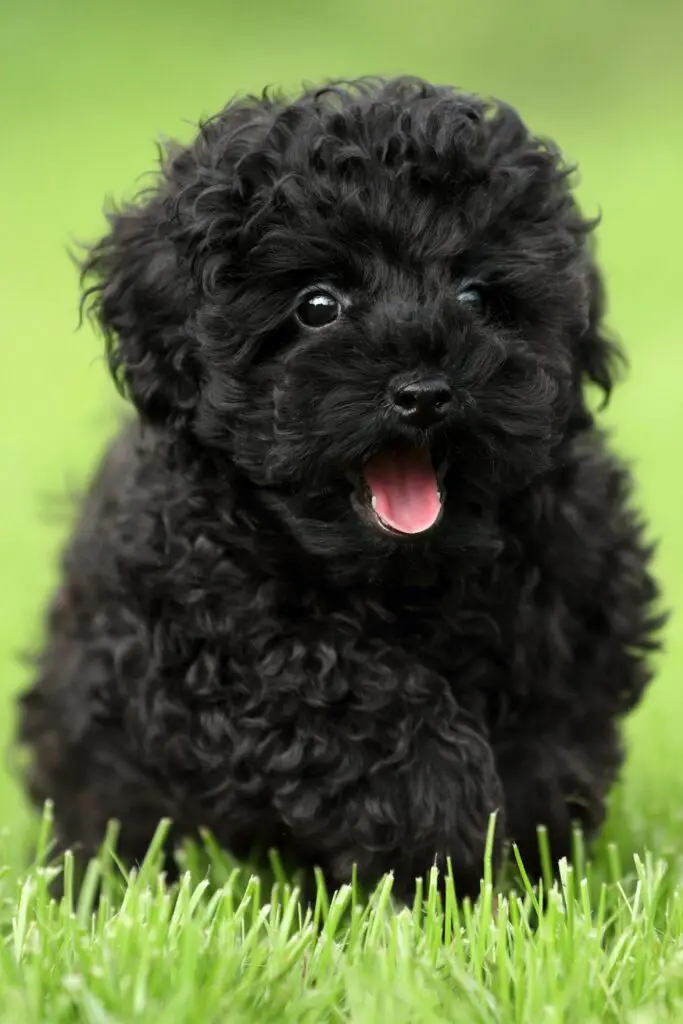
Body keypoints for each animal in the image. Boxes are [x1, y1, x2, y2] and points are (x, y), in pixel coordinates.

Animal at [20, 75, 663, 901]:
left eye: (475, 297)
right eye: (317, 305)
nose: (423, 392)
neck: (409, 575)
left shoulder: (580, 593)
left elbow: (552, 732)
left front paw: (515, 852)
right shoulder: (203, 627)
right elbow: (337, 683)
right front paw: (440, 813)